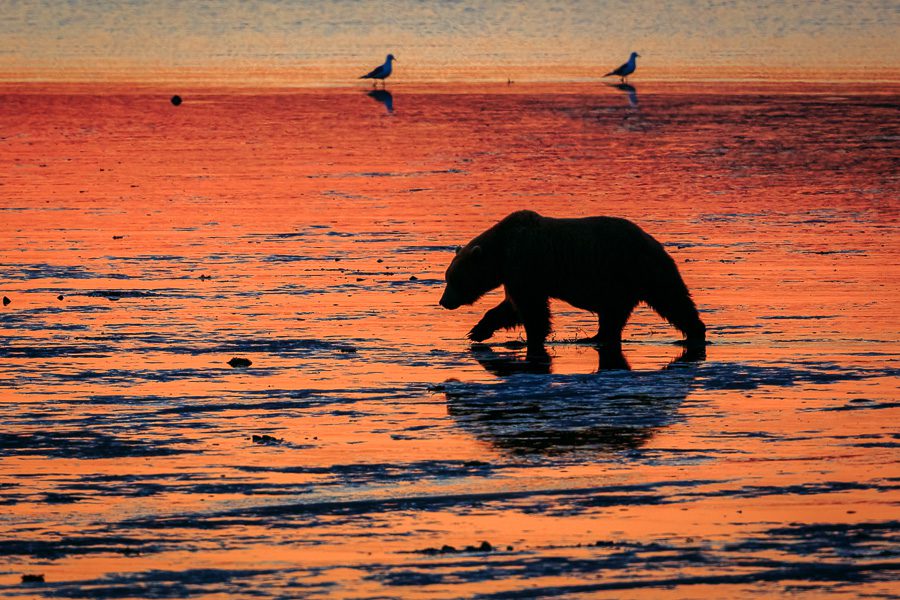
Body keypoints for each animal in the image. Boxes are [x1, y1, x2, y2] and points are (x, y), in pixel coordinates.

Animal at [440, 210, 708, 356]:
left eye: (453, 279)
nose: (443, 301)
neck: (501, 251)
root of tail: (654, 241)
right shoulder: (518, 273)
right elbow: (512, 307)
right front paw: (477, 331)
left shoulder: (525, 263)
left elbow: (531, 308)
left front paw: (534, 337)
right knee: (615, 314)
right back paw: (595, 337)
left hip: (634, 268)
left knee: (671, 299)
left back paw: (695, 332)